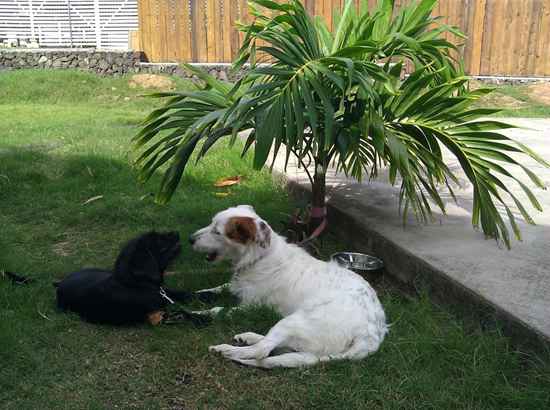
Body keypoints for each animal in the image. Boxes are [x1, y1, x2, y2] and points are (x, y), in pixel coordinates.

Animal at [57, 232, 206, 326]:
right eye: (159, 240)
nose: (176, 233)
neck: (137, 284)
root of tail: (59, 283)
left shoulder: (164, 292)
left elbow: (183, 294)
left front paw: (205, 296)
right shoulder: (156, 317)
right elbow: (181, 314)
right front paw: (203, 318)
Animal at [192, 205, 390, 368]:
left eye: (217, 232)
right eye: (211, 224)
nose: (189, 239)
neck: (259, 257)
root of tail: (371, 336)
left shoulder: (249, 306)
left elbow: (218, 310)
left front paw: (198, 313)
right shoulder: (236, 286)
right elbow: (220, 287)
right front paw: (200, 293)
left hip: (294, 321)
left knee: (262, 351)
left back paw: (227, 350)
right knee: (275, 347)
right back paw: (249, 337)